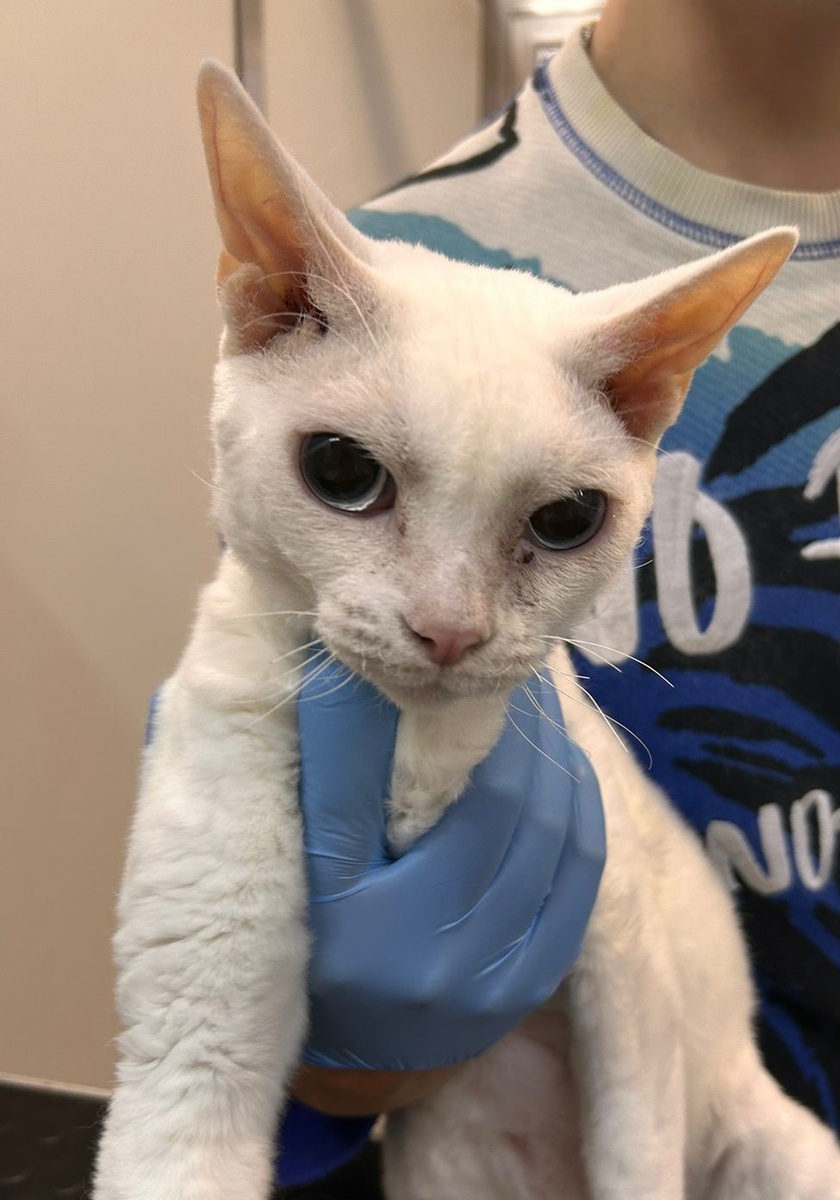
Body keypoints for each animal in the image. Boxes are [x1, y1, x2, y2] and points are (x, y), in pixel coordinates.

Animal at [91, 61, 840, 1200]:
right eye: (343, 472)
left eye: (566, 520)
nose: (448, 629)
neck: (411, 753)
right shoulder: (194, 1047)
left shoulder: (630, 980)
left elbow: (636, 1154)